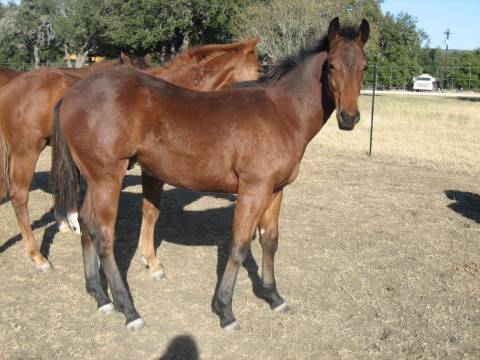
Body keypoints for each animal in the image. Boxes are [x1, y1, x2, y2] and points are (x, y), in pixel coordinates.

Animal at [0, 38, 258, 272]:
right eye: (259, 69)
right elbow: (151, 212)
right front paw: (150, 260)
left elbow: (149, 210)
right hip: (27, 151)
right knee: (19, 195)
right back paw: (38, 256)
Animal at [50, 18, 370, 330]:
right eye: (331, 66)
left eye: (365, 65)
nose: (349, 118)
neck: (280, 113)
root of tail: (72, 94)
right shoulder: (253, 189)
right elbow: (239, 246)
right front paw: (225, 309)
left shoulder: (276, 190)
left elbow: (270, 240)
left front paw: (273, 296)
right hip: (108, 178)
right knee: (104, 236)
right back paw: (129, 310)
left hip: (95, 179)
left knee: (86, 223)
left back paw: (100, 296)